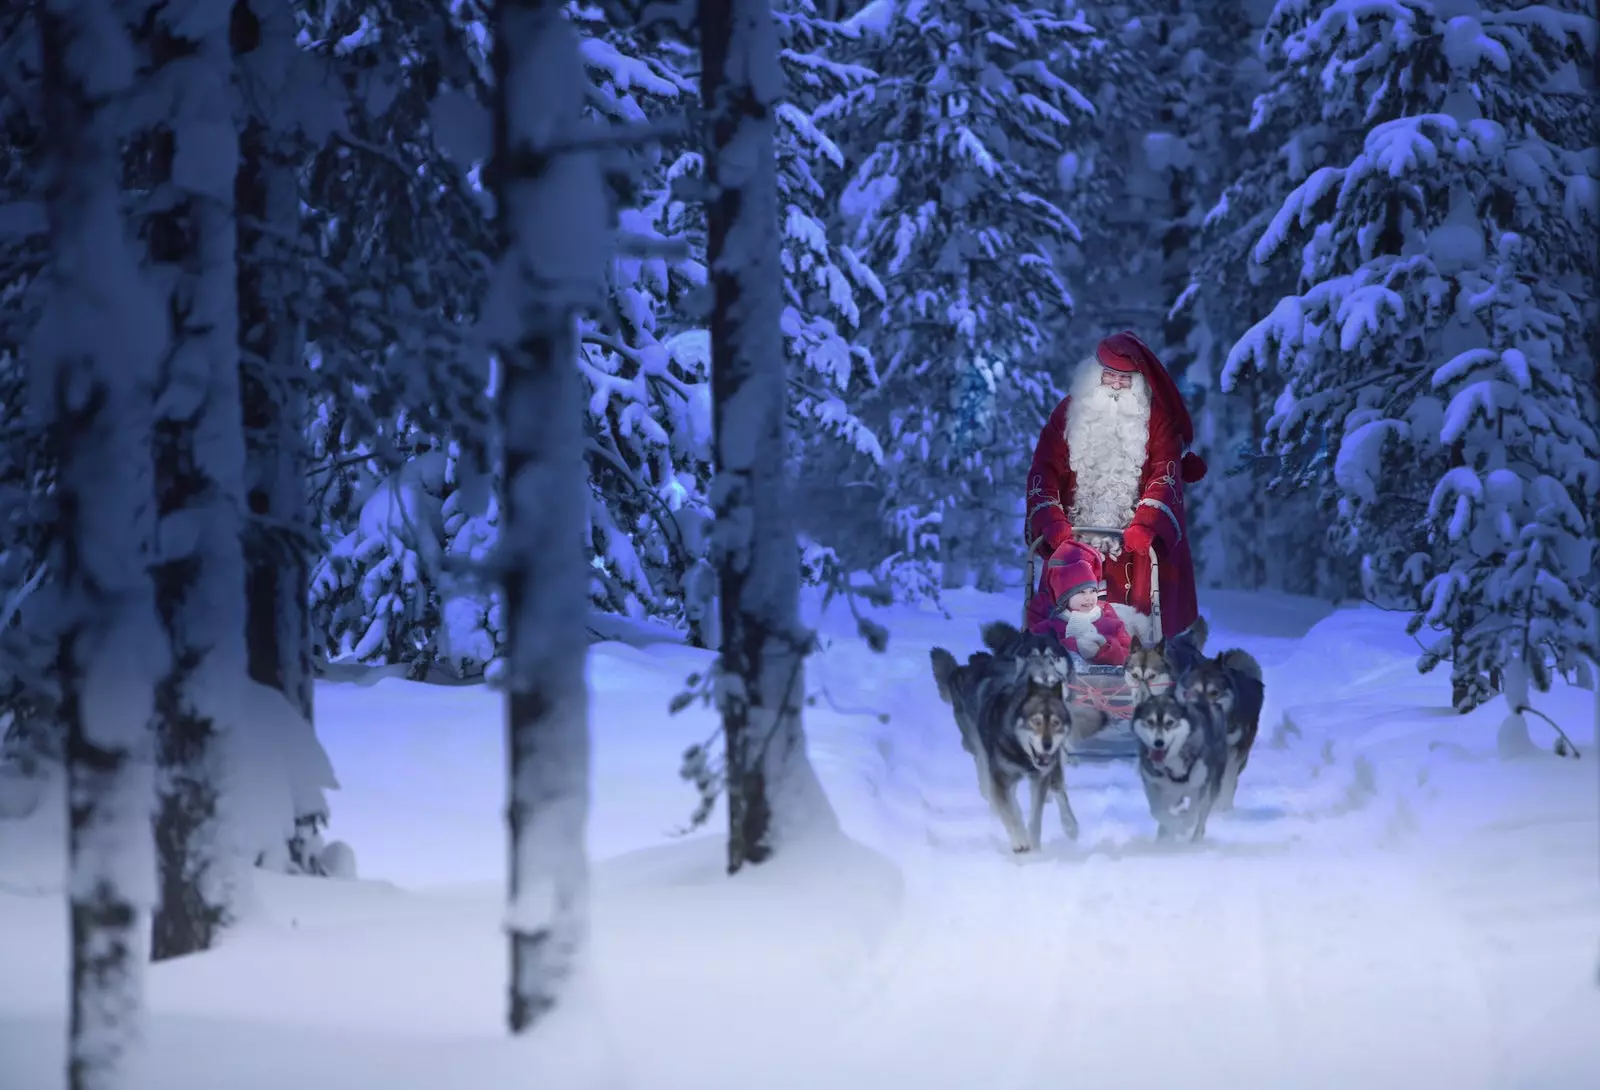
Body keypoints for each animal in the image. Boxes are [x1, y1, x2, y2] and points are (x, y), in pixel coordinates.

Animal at [928, 637, 1100, 851]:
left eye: (1053, 659)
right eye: (1035, 721)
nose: (1050, 679)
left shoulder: (1042, 775)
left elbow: (1036, 816)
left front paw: (1035, 843)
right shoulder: (1000, 778)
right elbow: (1010, 812)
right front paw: (1021, 841)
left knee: (1057, 789)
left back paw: (1068, 824)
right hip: (980, 750)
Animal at [1132, 688, 1228, 838]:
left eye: (1170, 722)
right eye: (1150, 722)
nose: (1159, 743)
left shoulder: (1199, 787)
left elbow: (1192, 815)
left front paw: (1182, 825)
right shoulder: (1153, 785)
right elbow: (1157, 812)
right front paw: (1175, 826)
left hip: (1212, 785)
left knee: (1201, 817)